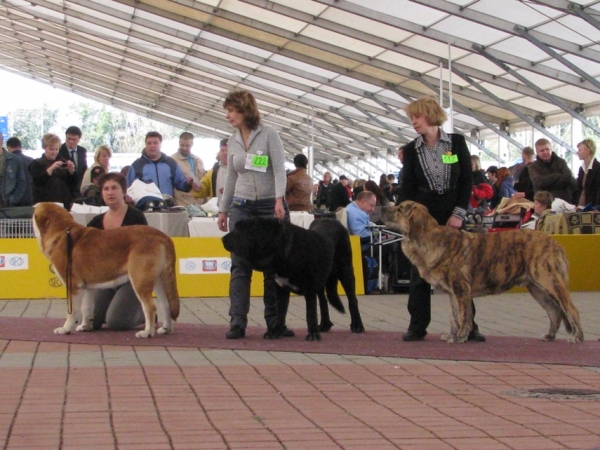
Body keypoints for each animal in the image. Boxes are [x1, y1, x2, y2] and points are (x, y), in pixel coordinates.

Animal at [33, 204, 178, 338]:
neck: (62, 232)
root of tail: (163, 236)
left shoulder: (73, 286)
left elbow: (72, 311)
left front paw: (65, 329)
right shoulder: (87, 287)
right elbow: (87, 308)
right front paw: (85, 327)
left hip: (140, 279)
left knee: (150, 307)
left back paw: (147, 332)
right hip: (159, 280)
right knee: (166, 304)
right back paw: (166, 329)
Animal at [221, 218, 366, 342]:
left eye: (241, 230)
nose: (222, 239)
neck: (283, 250)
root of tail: (334, 220)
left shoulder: (309, 287)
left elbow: (310, 313)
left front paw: (313, 335)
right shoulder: (281, 288)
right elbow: (280, 312)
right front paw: (275, 332)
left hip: (345, 271)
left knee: (352, 300)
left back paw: (357, 325)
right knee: (323, 300)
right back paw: (324, 325)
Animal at [382, 201, 584, 344]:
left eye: (400, 209)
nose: (382, 207)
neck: (427, 238)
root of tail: (555, 243)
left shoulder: (461, 289)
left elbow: (464, 315)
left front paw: (461, 336)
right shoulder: (452, 293)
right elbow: (454, 316)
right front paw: (452, 335)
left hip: (550, 281)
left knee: (571, 309)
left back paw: (577, 337)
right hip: (536, 288)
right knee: (554, 311)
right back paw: (549, 336)